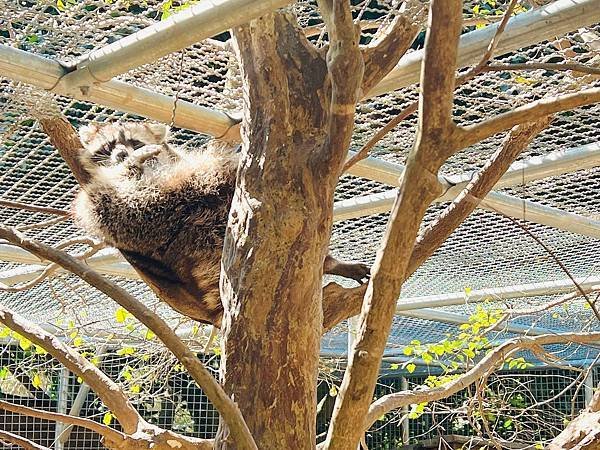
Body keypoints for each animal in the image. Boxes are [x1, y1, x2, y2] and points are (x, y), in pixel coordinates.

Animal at [72, 122, 368, 326]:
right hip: (191, 230)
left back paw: (328, 262)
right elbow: (117, 210)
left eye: (133, 140)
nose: (123, 155)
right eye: (108, 146)